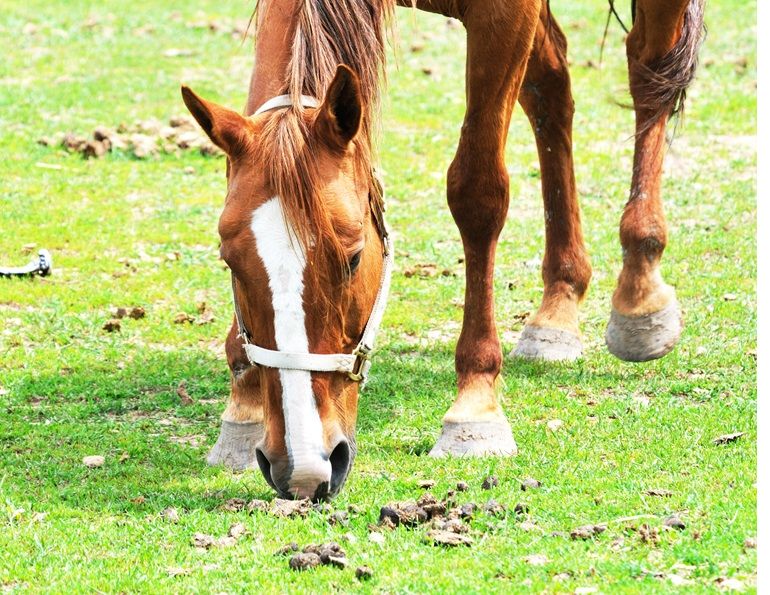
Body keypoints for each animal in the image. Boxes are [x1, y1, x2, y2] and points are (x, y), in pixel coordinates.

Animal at [182, 0, 705, 500]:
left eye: (353, 258)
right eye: (230, 261)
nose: (303, 467)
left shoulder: (505, 14)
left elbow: (477, 192)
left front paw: (475, 406)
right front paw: (244, 403)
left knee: (647, 68)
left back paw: (639, 291)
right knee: (551, 84)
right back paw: (558, 306)